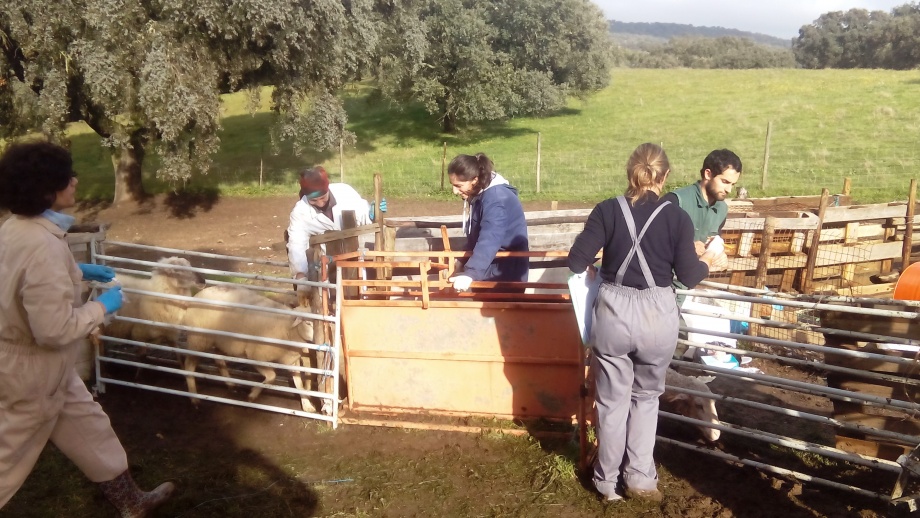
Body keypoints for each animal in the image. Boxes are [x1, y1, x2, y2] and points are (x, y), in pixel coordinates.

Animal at [180, 285, 317, 413]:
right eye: (308, 323)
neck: (288, 328)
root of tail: (197, 295)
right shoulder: (255, 356)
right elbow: (272, 377)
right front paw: (252, 395)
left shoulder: (292, 360)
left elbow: (299, 385)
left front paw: (307, 405)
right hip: (198, 339)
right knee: (189, 365)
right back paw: (194, 399)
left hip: (221, 340)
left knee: (218, 359)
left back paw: (231, 385)